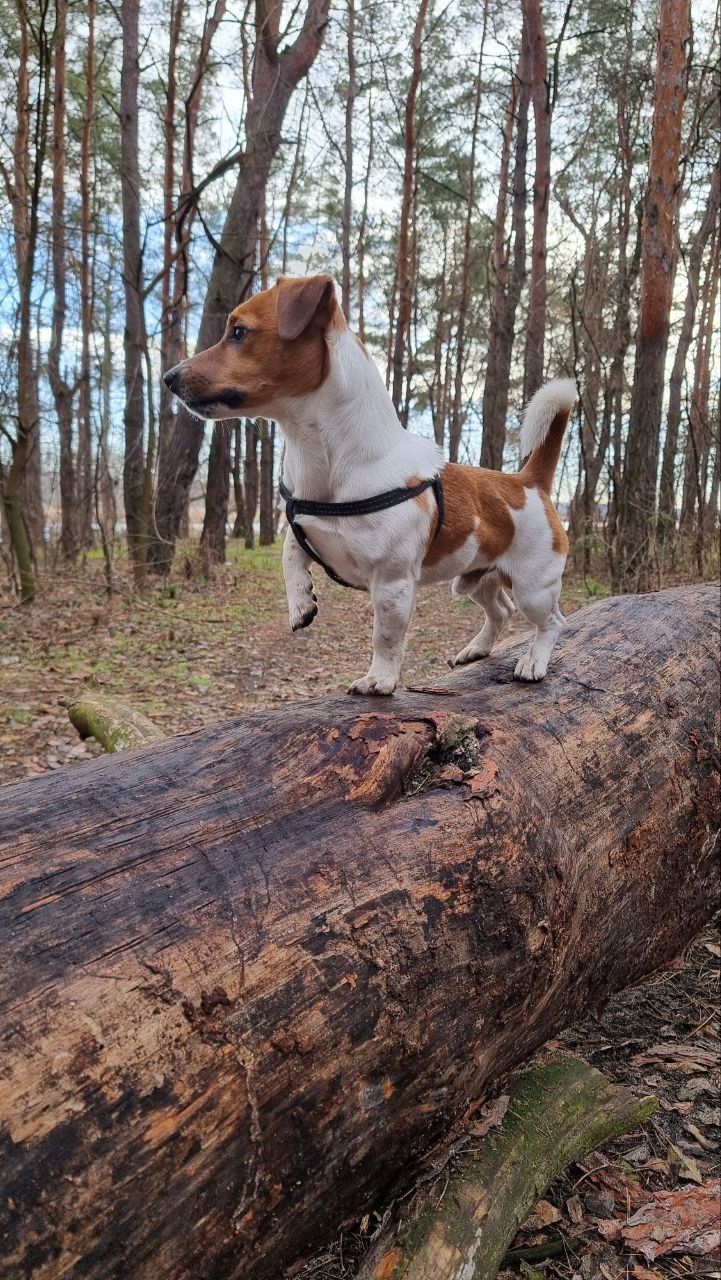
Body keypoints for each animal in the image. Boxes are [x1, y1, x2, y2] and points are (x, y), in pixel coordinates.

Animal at [163, 267, 576, 691]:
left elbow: (386, 637)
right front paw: (300, 602)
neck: (324, 464)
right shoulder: (302, 528)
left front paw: (379, 679)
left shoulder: (392, 584)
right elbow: (289, 554)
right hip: (474, 578)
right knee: (500, 610)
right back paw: (475, 650)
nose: (168, 377)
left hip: (533, 587)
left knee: (552, 621)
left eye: (238, 332)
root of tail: (530, 482)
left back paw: (533, 662)